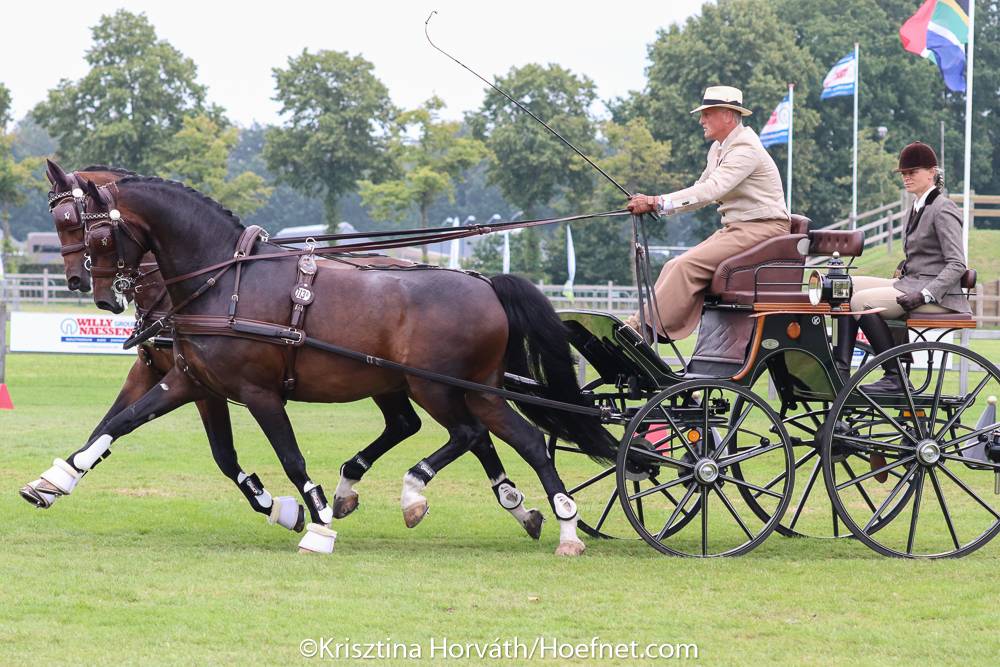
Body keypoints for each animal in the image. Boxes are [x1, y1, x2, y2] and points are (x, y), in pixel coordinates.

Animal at [75, 175, 614, 555]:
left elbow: (290, 458)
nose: (99, 295)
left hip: (434, 387)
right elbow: (121, 423)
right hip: (475, 388)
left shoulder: (257, 392)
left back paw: (414, 493)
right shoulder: (189, 380)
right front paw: (61, 479)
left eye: (95, 234)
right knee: (524, 440)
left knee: (467, 434)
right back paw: (560, 526)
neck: (224, 281)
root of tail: (485, 283)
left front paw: (316, 524)